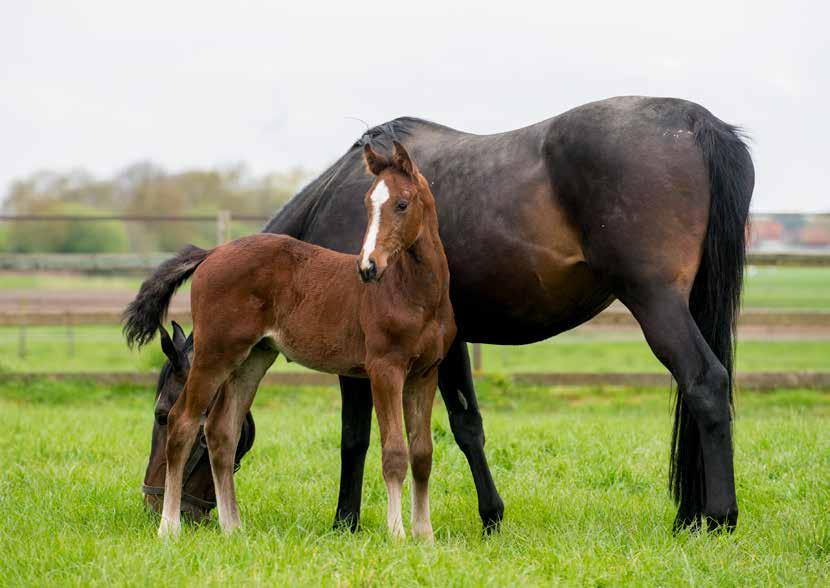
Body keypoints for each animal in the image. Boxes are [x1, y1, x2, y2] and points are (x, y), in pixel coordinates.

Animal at [125, 141, 456, 536]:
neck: (413, 292)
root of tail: (212, 253)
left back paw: (233, 529)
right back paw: (169, 528)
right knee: (184, 424)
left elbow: (422, 454)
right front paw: (397, 534)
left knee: (221, 432)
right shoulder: (385, 370)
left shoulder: (426, 372)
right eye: (367, 203)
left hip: (253, 358)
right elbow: (394, 453)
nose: (368, 266)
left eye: (402, 204)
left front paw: (425, 536)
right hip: (215, 353)